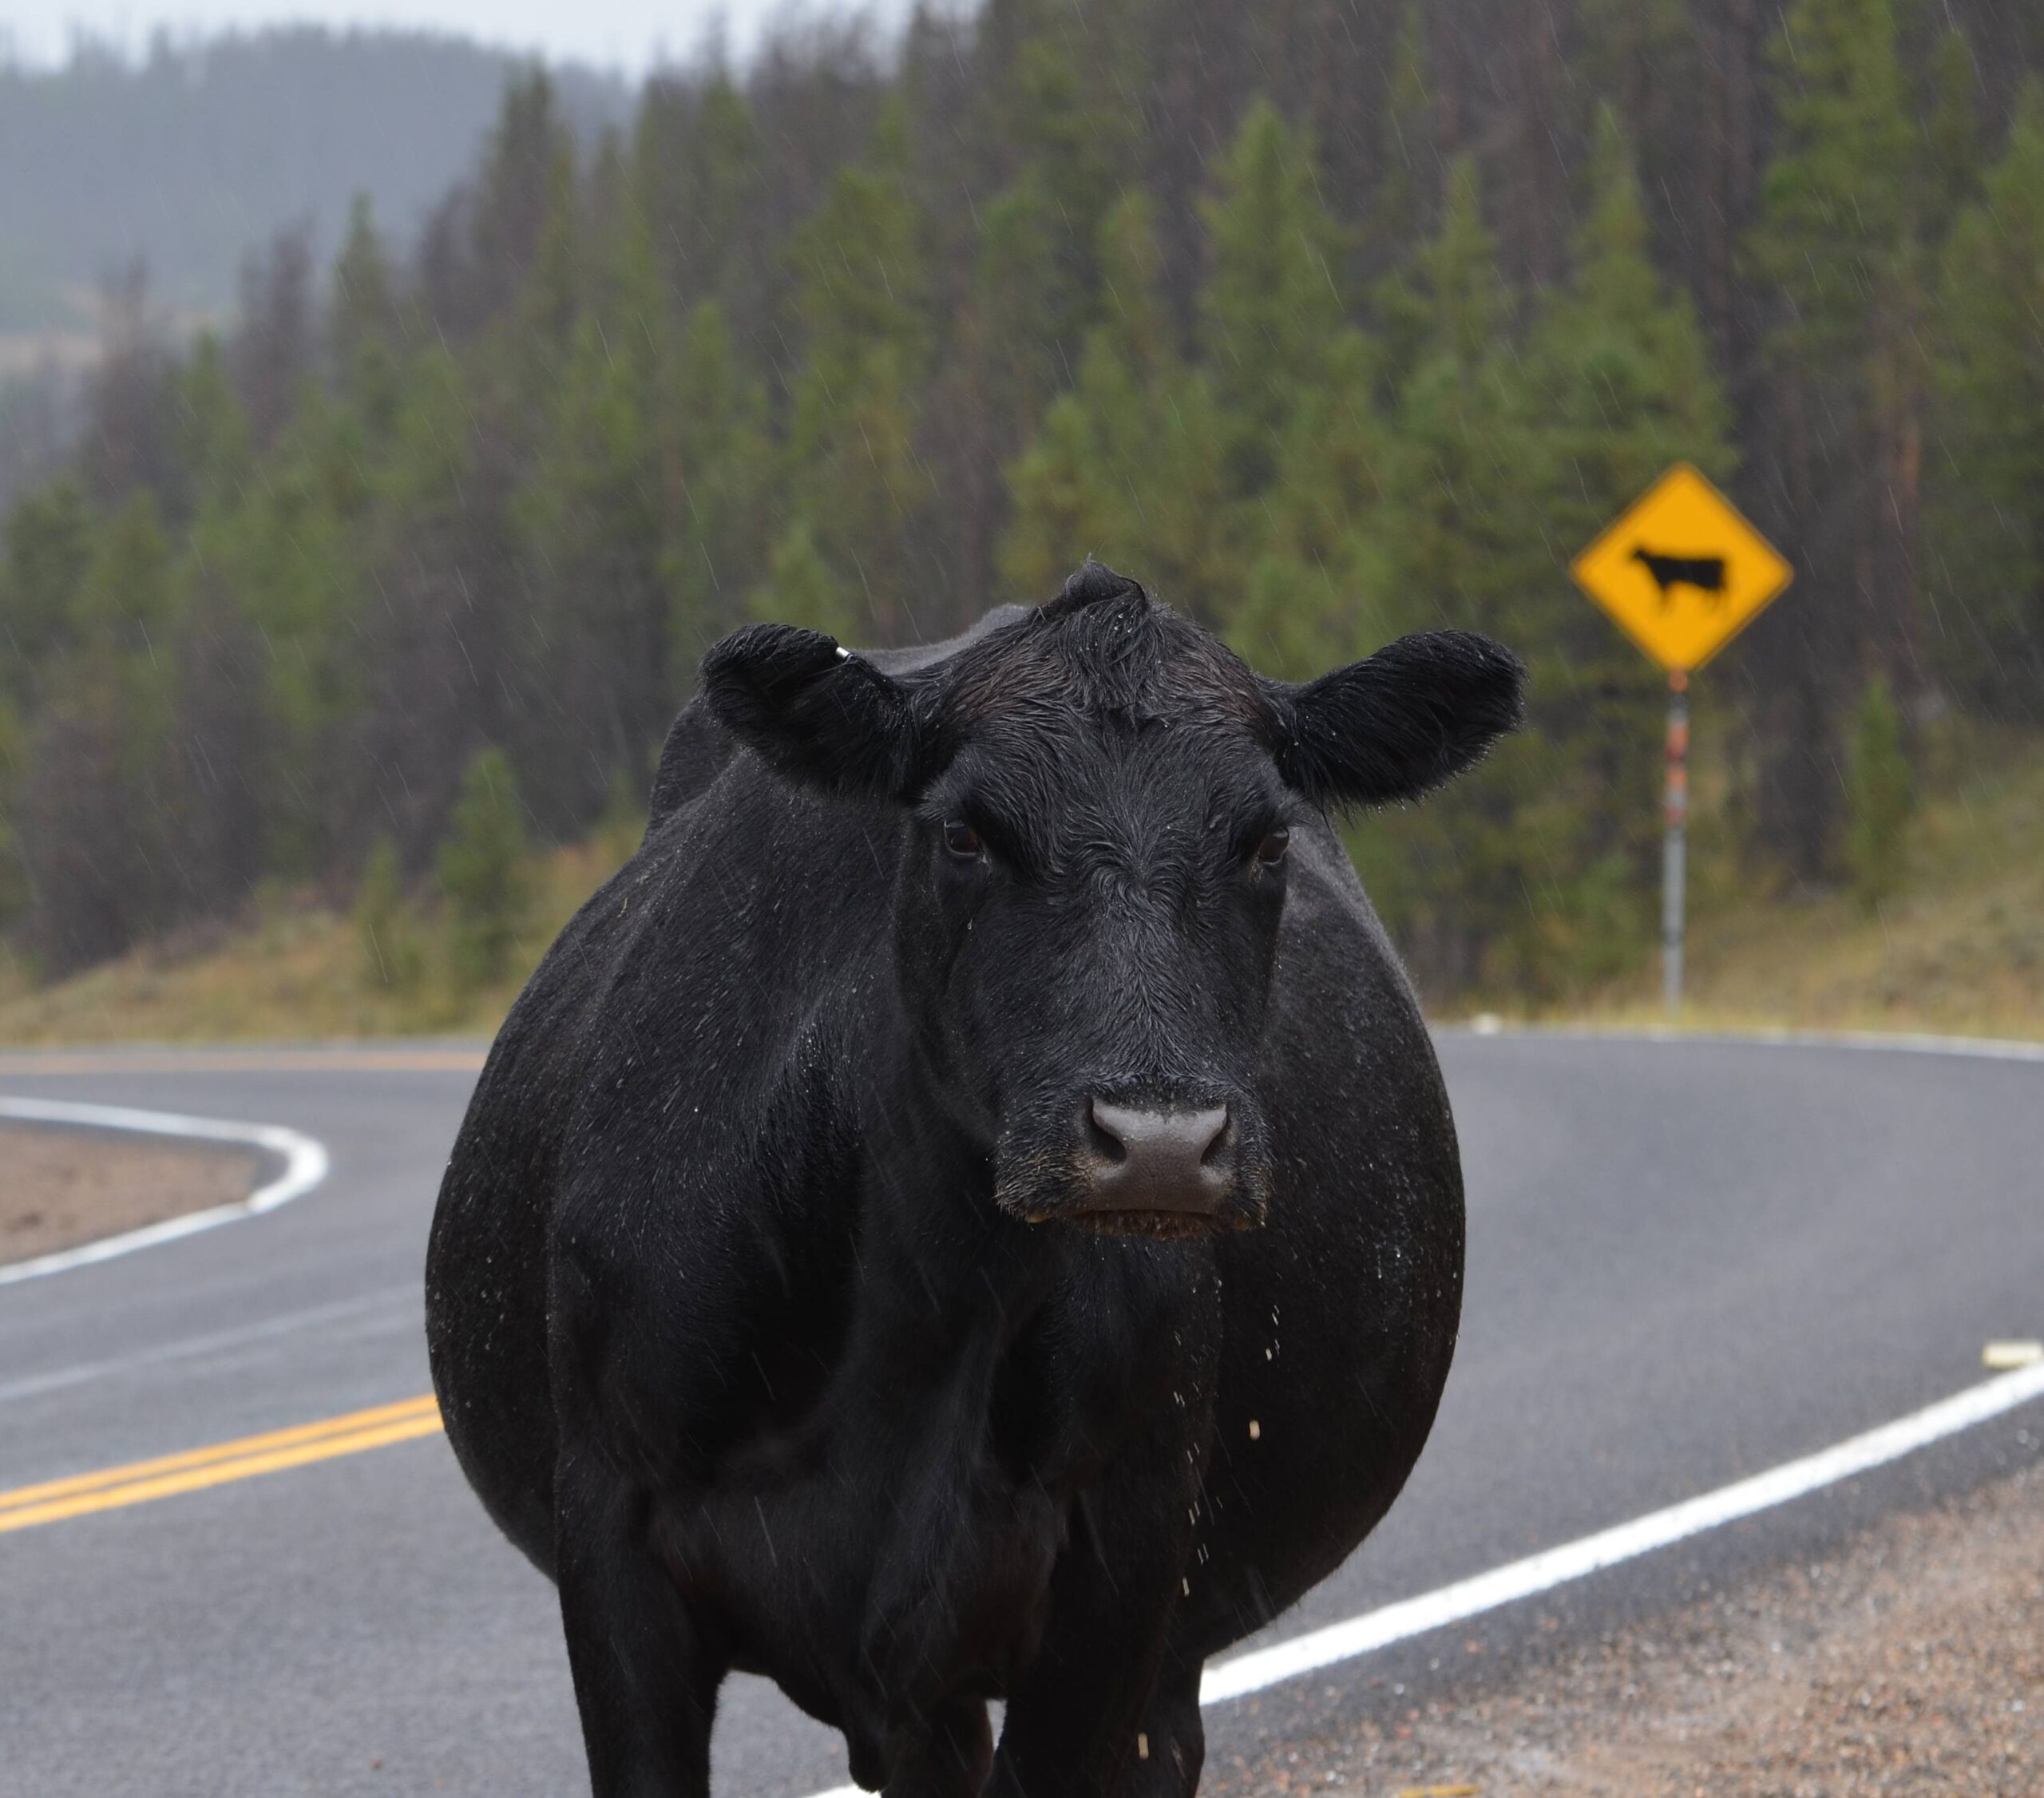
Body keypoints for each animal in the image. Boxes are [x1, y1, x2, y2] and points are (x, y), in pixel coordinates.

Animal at [427, 568, 1520, 1798]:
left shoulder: (1124, 1560)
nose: (1158, 1137)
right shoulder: (614, 1535)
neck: (922, 1305)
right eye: (965, 832)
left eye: (1267, 842)